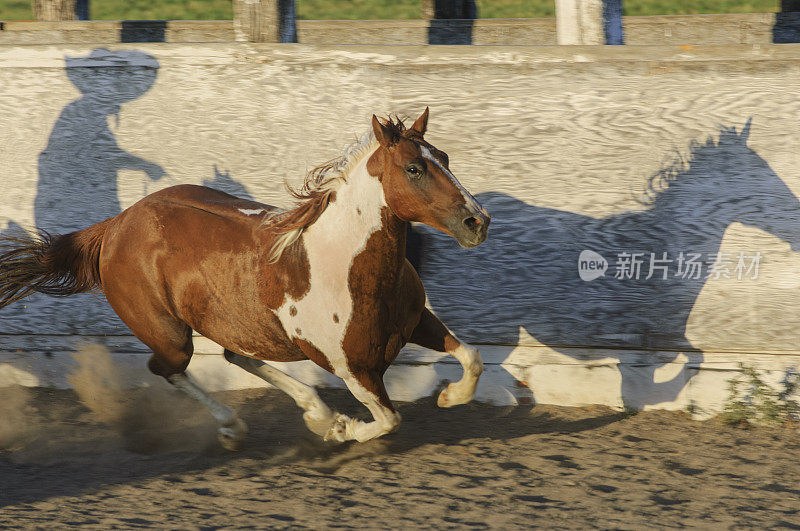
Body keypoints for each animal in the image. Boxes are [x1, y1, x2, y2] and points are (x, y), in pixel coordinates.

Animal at [0, 109, 488, 448]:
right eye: (413, 168)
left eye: (445, 158)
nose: (477, 222)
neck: (345, 266)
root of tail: (114, 225)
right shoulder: (352, 367)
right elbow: (389, 419)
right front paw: (342, 430)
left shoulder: (415, 322)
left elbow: (472, 357)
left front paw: (448, 397)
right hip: (168, 333)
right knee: (168, 369)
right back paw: (237, 427)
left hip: (235, 322)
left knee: (235, 356)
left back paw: (315, 412)